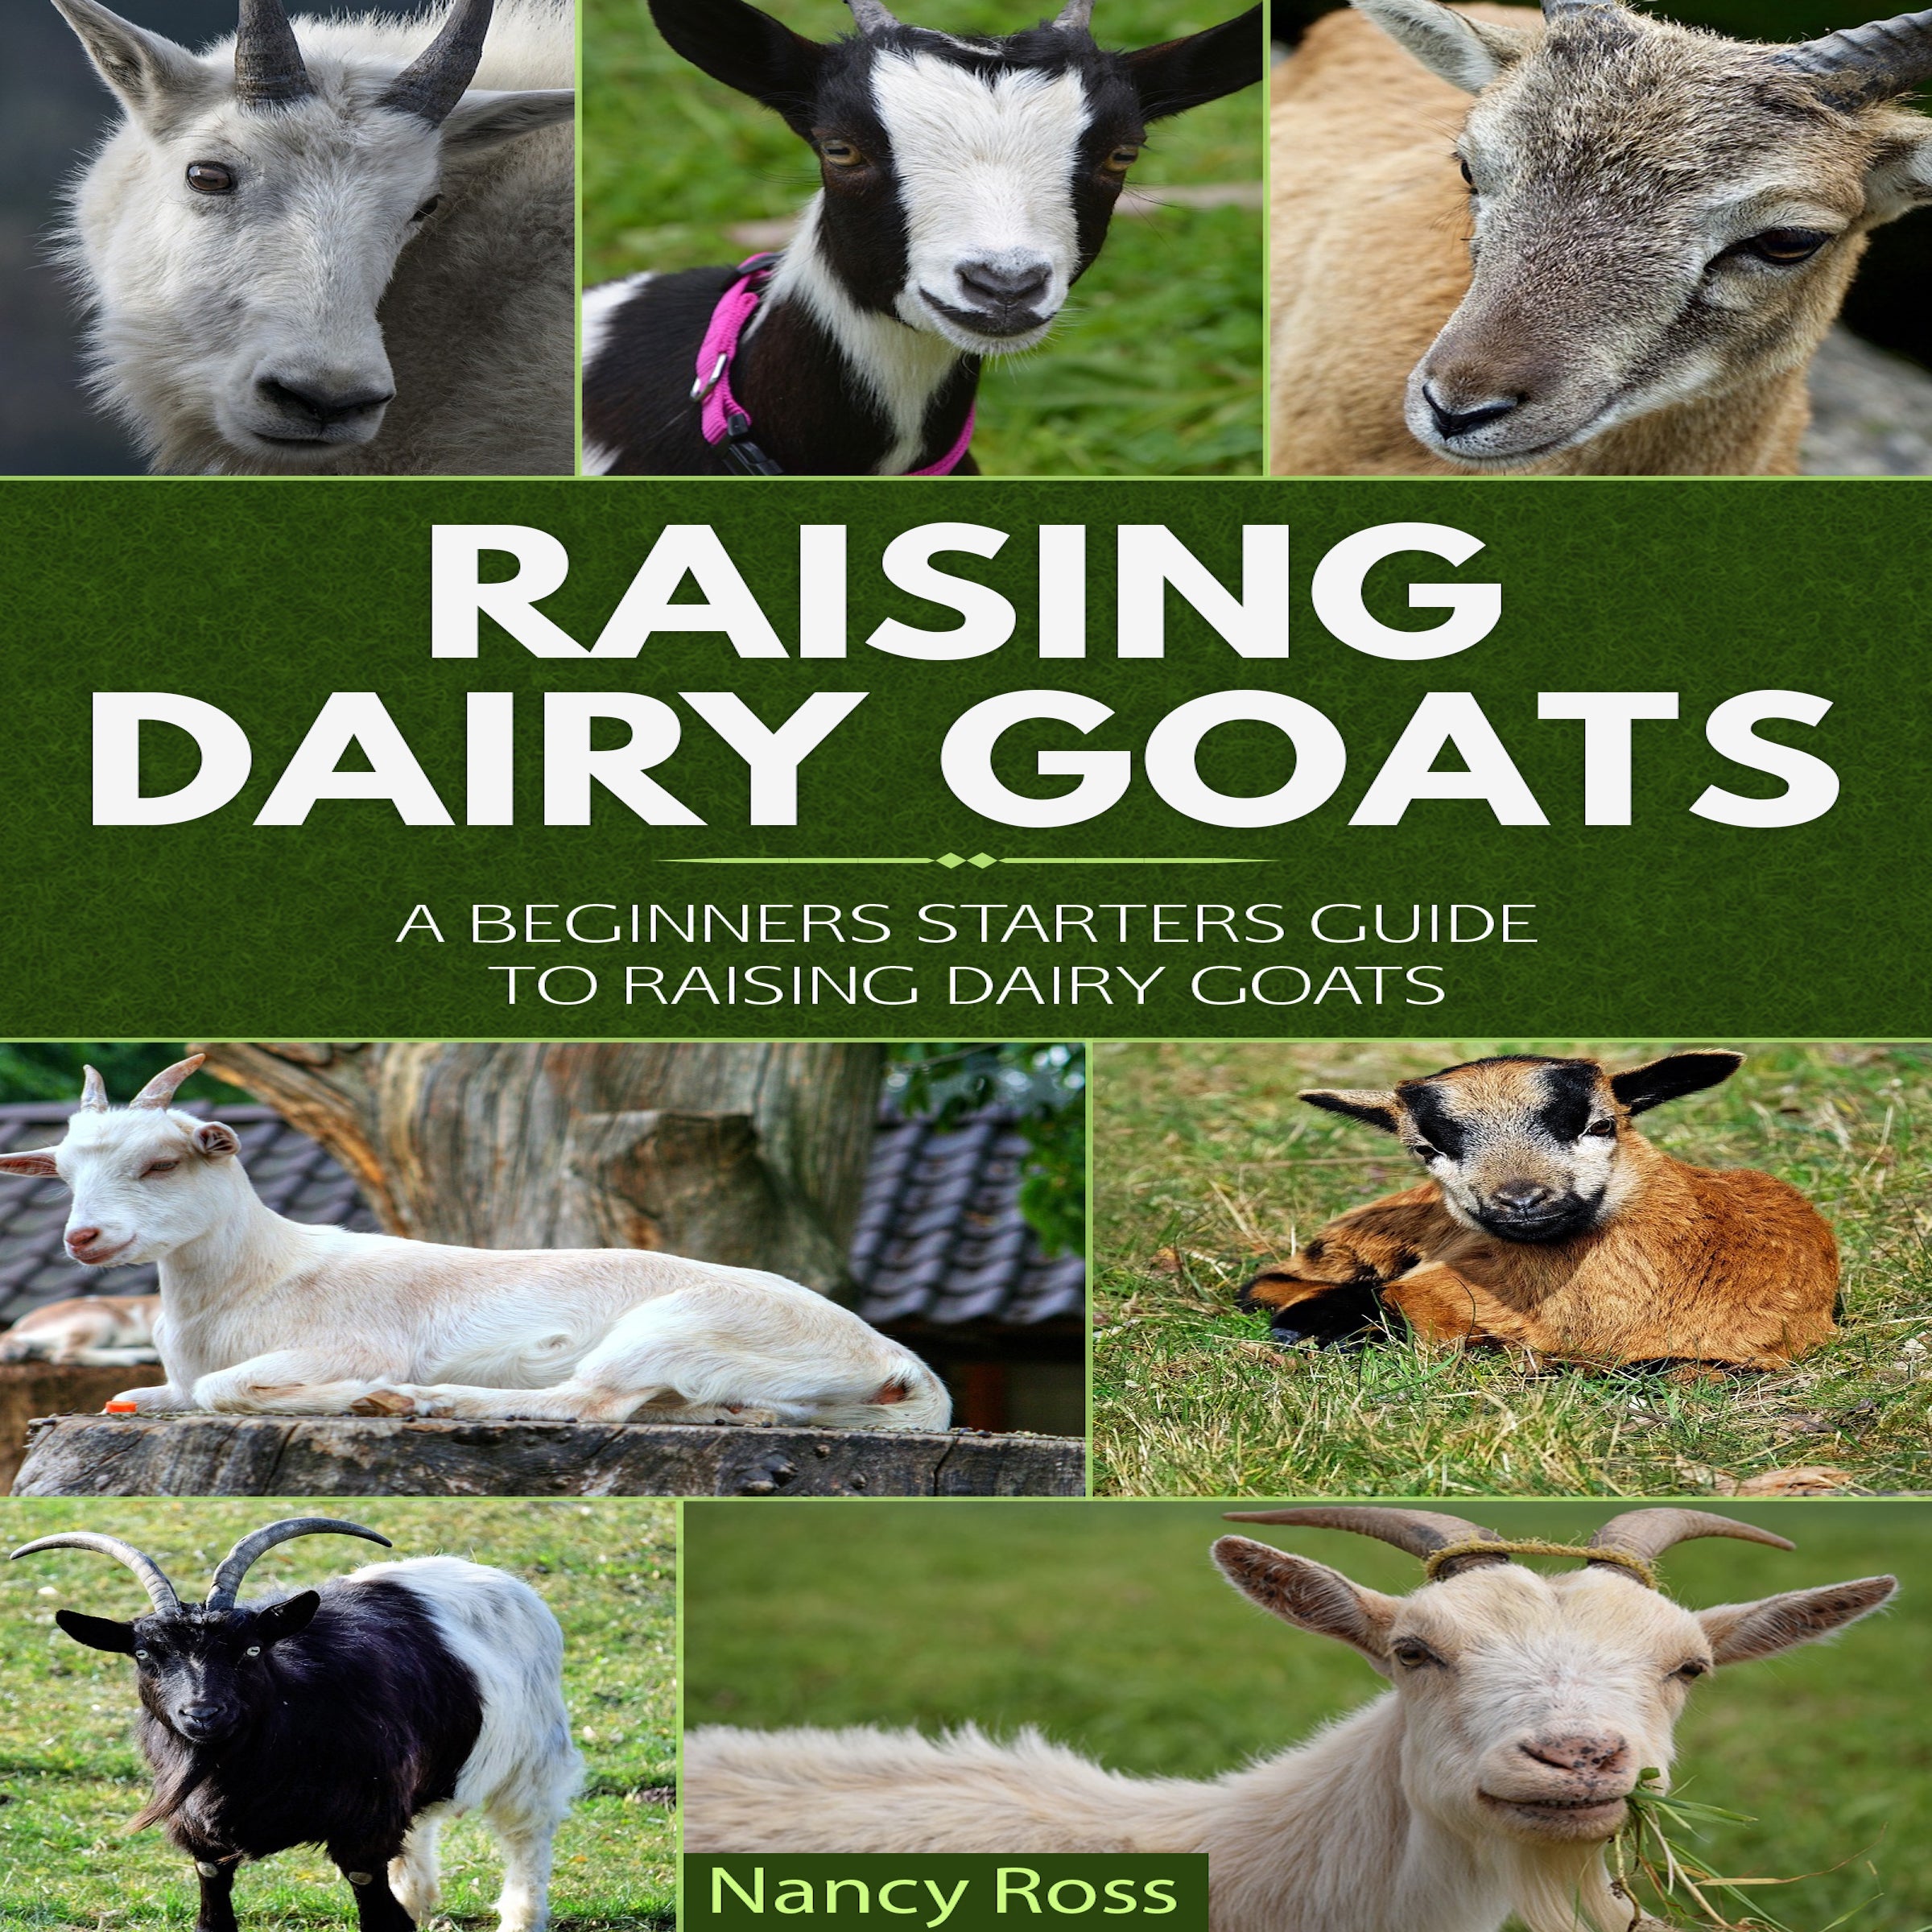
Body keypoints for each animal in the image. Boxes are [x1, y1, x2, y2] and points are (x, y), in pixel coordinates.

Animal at [12, 1515, 581, 1932]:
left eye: (251, 1650)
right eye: (145, 1654)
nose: (203, 1714)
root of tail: (496, 1578)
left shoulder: (363, 1828)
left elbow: (380, 1913)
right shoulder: (205, 1843)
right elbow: (214, 1914)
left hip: (534, 1756)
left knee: (528, 1833)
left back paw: (522, 1918)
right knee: (420, 1828)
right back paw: (418, 1897)